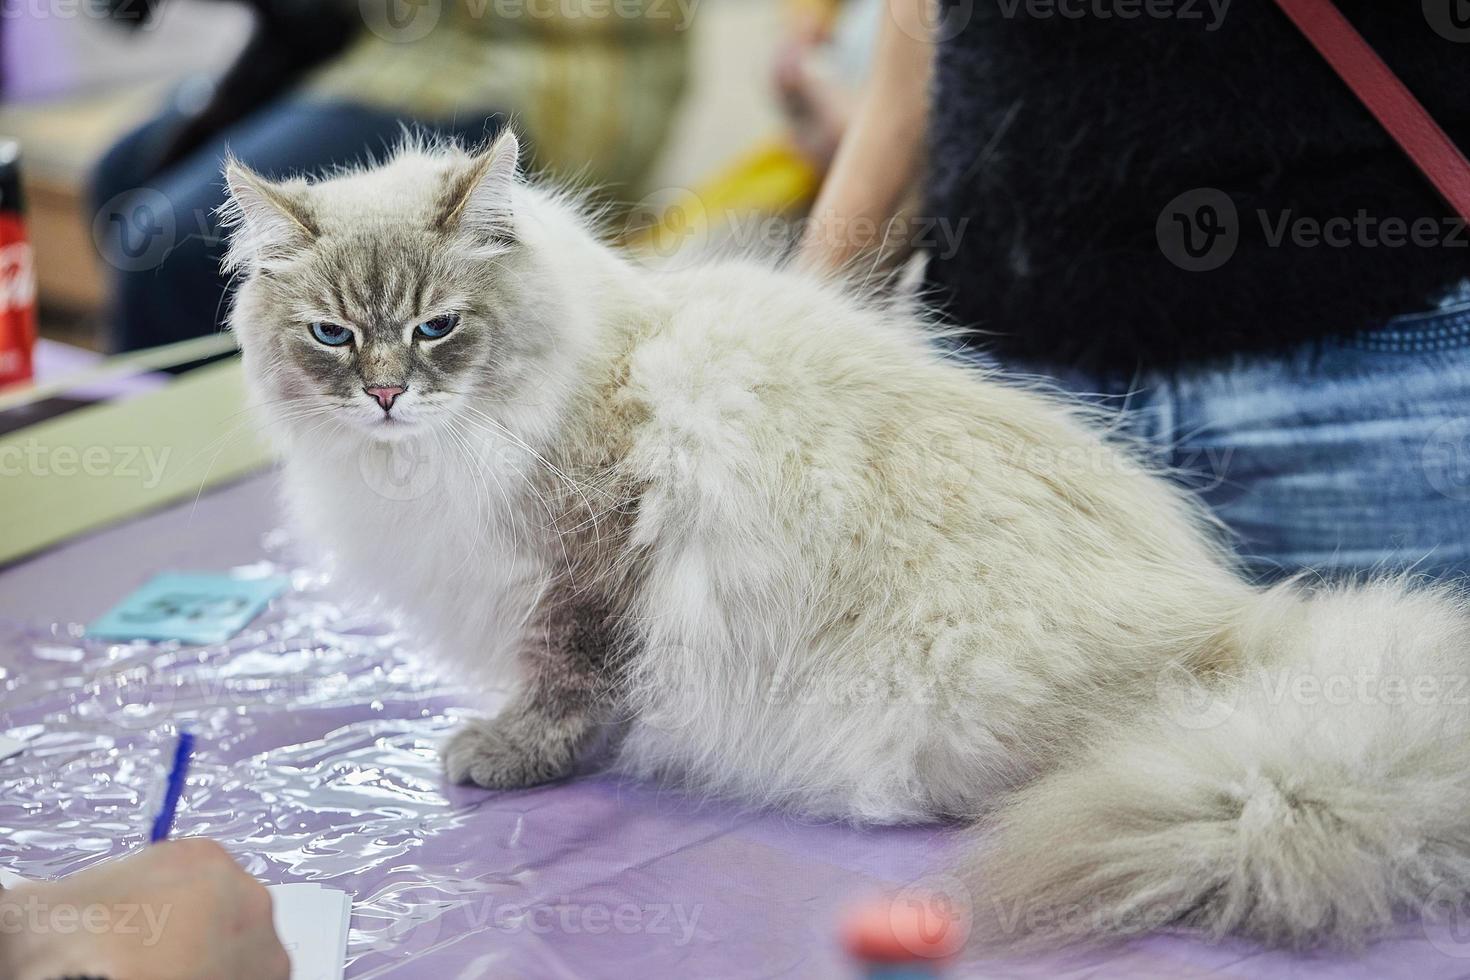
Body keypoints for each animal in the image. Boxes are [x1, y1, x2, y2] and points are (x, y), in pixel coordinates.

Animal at [220, 130, 1470, 952]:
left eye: (437, 327)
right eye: (332, 336)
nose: (386, 394)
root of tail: (1238, 639)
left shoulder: (582, 565)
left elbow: (568, 683)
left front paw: (501, 753)